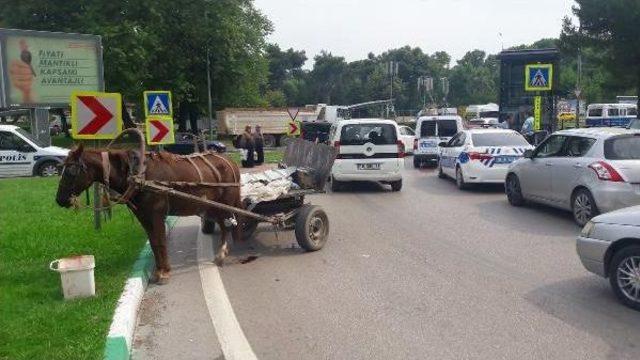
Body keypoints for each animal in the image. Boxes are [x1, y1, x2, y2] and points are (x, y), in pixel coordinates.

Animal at [55, 144, 242, 284]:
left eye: (71, 171)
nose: (59, 199)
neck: (139, 176)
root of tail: (231, 162)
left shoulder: (156, 215)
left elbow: (160, 242)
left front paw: (165, 272)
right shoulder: (143, 217)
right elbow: (153, 243)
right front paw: (158, 272)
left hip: (225, 204)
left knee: (226, 226)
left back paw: (221, 254)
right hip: (214, 206)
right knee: (224, 225)